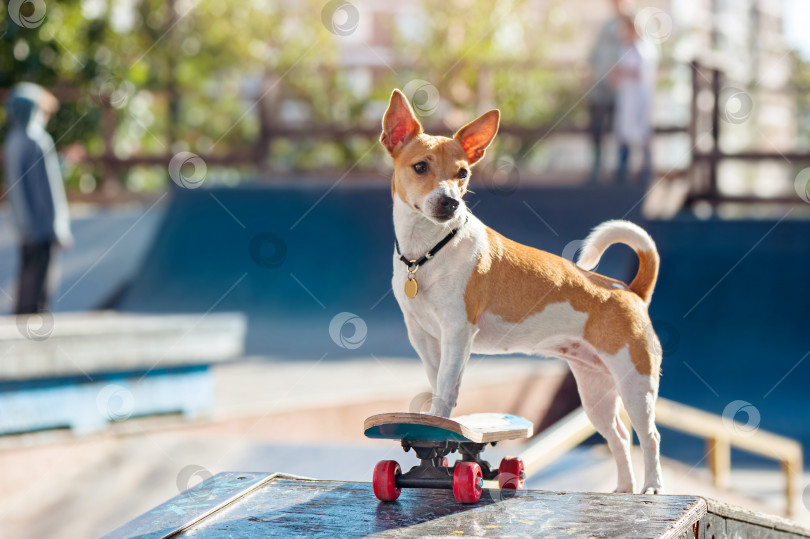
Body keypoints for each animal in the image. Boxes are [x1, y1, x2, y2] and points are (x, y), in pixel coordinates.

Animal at [382, 89, 660, 498]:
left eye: (462, 174)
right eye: (420, 167)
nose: (450, 202)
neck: (428, 251)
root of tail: (630, 291)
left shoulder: (457, 334)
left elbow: (447, 388)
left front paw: (440, 430)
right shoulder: (422, 336)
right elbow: (436, 385)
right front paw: (433, 426)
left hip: (635, 385)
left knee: (649, 436)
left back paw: (652, 487)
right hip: (596, 393)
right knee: (620, 437)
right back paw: (624, 489)